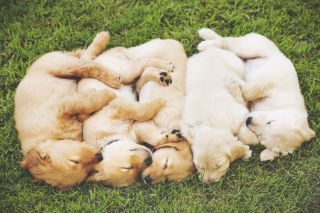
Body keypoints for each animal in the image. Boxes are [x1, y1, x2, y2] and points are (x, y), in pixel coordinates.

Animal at [14, 31, 121, 188]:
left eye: (74, 161)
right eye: (86, 171)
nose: (100, 156)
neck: (51, 137)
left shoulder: (63, 105)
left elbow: (85, 103)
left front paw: (107, 95)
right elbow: (85, 109)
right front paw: (97, 94)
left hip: (60, 65)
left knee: (88, 65)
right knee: (86, 58)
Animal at [181, 44, 254, 183]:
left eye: (219, 166)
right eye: (199, 166)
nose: (208, 183)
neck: (212, 123)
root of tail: (210, 50)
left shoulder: (240, 113)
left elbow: (246, 135)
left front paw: (246, 151)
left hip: (237, 63)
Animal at [198, 28, 316, 161]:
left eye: (261, 138)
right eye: (270, 122)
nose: (248, 120)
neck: (279, 106)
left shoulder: (249, 104)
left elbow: (244, 97)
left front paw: (233, 83)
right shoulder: (269, 84)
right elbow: (251, 91)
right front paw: (234, 80)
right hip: (250, 48)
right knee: (227, 41)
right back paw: (204, 41)